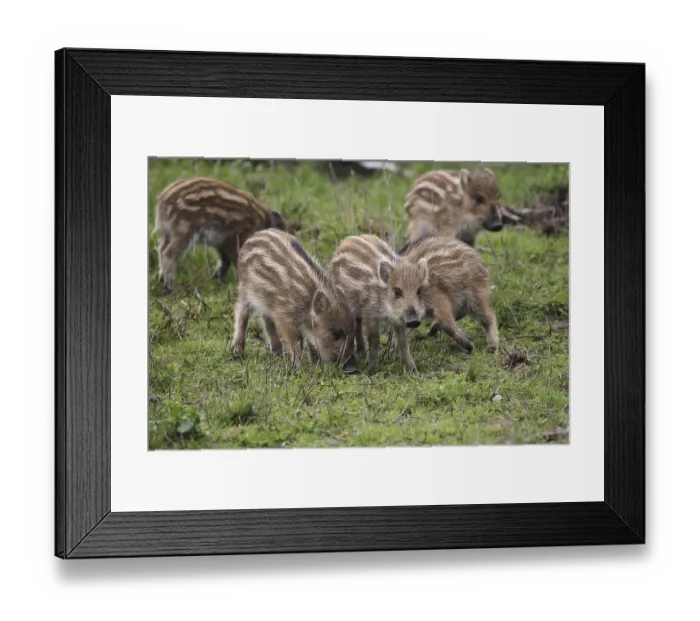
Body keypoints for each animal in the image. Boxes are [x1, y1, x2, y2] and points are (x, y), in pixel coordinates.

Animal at [154, 176, 298, 293]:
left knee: (161, 249)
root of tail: (161, 201)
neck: (261, 222)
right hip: (184, 230)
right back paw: (170, 286)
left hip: (168, 233)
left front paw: (217, 279)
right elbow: (236, 261)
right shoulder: (235, 240)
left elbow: (225, 261)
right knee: (169, 253)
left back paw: (161, 281)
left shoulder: (223, 242)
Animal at [231, 229, 357, 373]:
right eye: (336, 333)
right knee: (241, 313)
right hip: (245, 290)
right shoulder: (284, 317)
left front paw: (315, 363)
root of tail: (255, 235)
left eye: (353, 331)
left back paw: (279, 354)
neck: (307, 302)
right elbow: (298, 342)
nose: (352, 368)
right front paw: (297, 367)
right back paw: (237, 352)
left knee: (267, 322)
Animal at [329, 234, 429, 372]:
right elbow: (373, 339)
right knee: (354, 326)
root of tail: (346, 240)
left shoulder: (399, 318)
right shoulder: (370, 312)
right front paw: (371, 370)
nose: (414, 321)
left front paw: (413, 369)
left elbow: (403, 341)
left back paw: (361, 351)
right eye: (397, 291)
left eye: (419, 291)